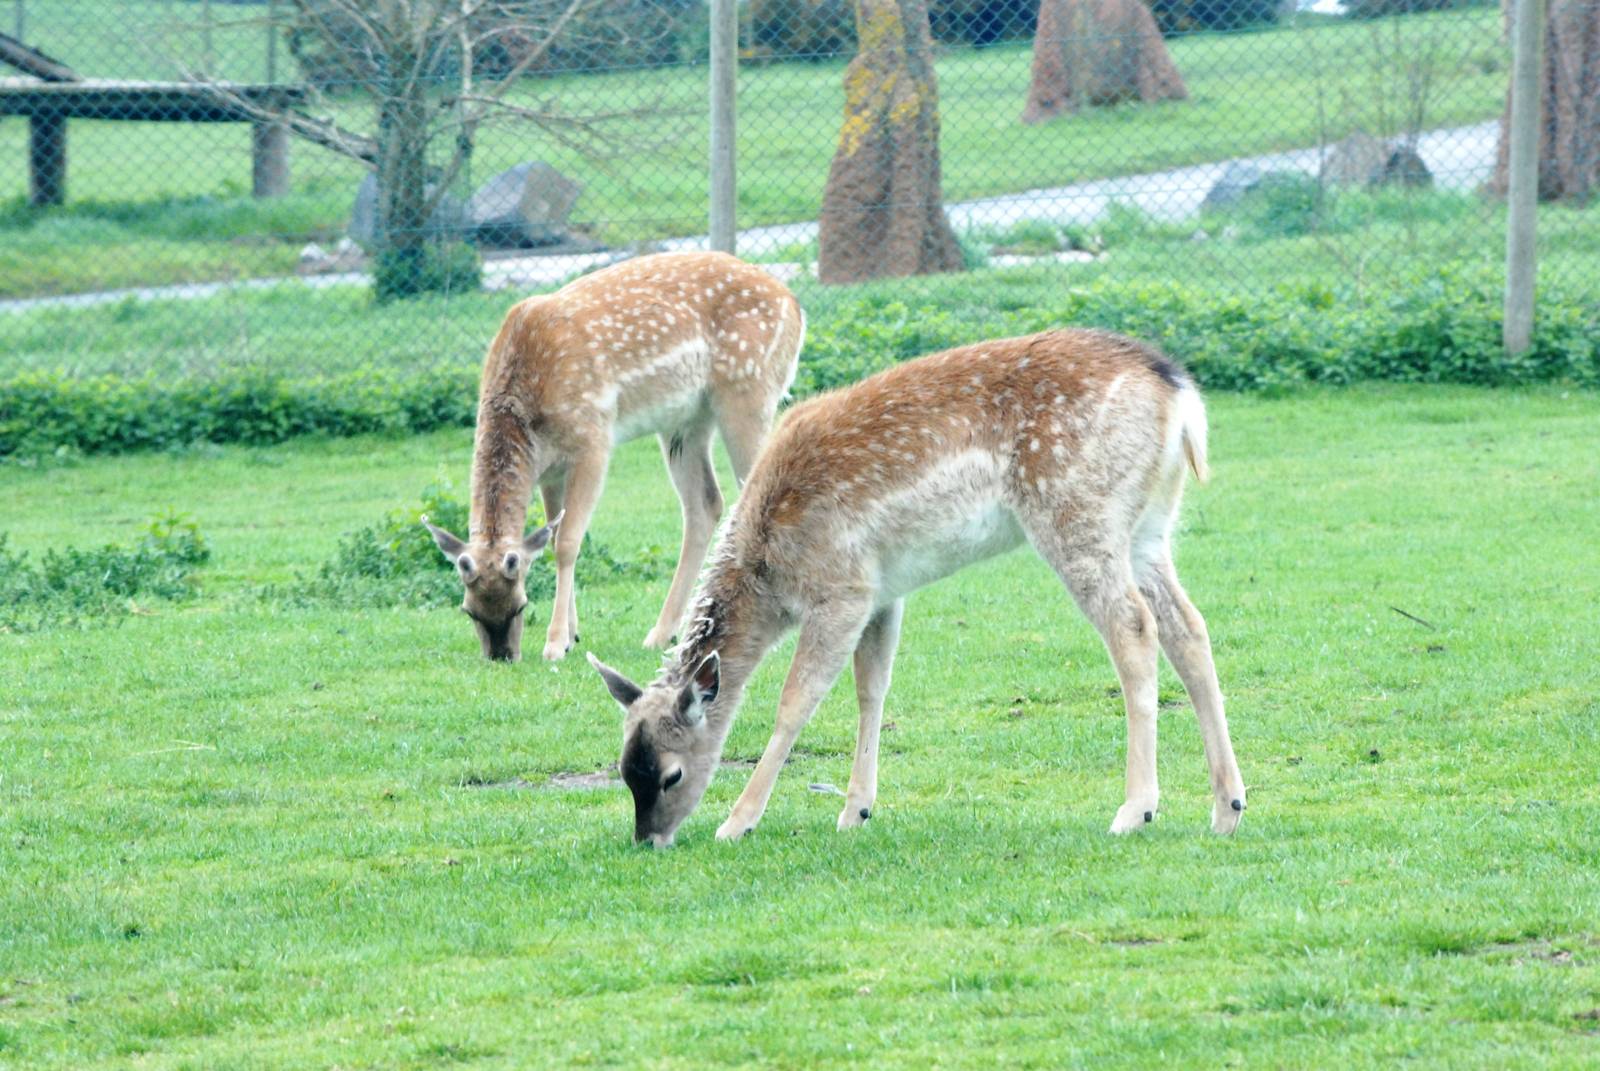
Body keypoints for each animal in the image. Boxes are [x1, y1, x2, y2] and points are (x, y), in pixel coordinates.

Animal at [423, 251, 806, 663]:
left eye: (520, 605)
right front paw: (572, 634)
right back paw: (663, 633)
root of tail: (796, 307)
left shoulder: (593, 438)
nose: (501, 655)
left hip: (749, 386)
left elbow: (567, 543)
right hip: (686, 421)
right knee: (705, 505)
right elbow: (553, 536)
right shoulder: (549, 470)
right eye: (468, 610)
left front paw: (555, 643)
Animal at [586, 328, 1247, 847]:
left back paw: (1136, 810)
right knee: (1189, 627)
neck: (769, 576)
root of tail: (1181, 398)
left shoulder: (842, 588)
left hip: (1078, 512)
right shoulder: (883, 592)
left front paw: (738, 821)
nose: (647, 838)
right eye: (623, 768)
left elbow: (796, 702)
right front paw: (856, 810)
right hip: (1149, 528)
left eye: (669, 773)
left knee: (1134, 627)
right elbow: (871, 689)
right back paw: (1228, 807)